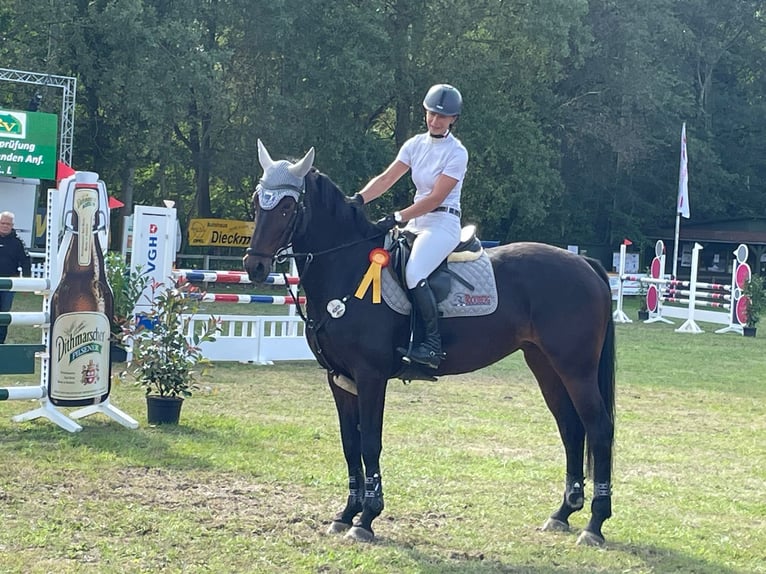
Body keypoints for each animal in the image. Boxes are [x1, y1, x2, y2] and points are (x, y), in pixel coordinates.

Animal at [244, 142, 616, 548]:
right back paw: (562, 513)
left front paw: (367, 519)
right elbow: (349, 444)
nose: (254, 267)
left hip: (576, 368)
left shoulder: (371, 376)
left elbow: (370, 442)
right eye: (257, 202)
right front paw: (345, 514)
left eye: (287, 207)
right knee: (571, 427)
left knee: (598, 428)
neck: (348, 268)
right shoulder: (340, 378)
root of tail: (583, 262)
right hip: (545, 364)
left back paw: (595, 524)